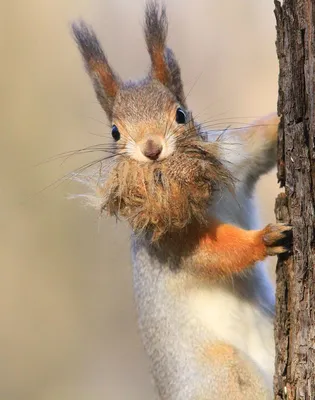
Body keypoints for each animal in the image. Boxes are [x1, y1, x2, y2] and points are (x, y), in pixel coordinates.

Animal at [72, 1, 294, 398]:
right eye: (114, 132)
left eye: (180, 114)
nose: (152, 148)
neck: (199, 185)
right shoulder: (169, 238)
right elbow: (209, 252)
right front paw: (264, 239)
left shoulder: (236, 154)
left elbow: (265, 137)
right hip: (225, 374)